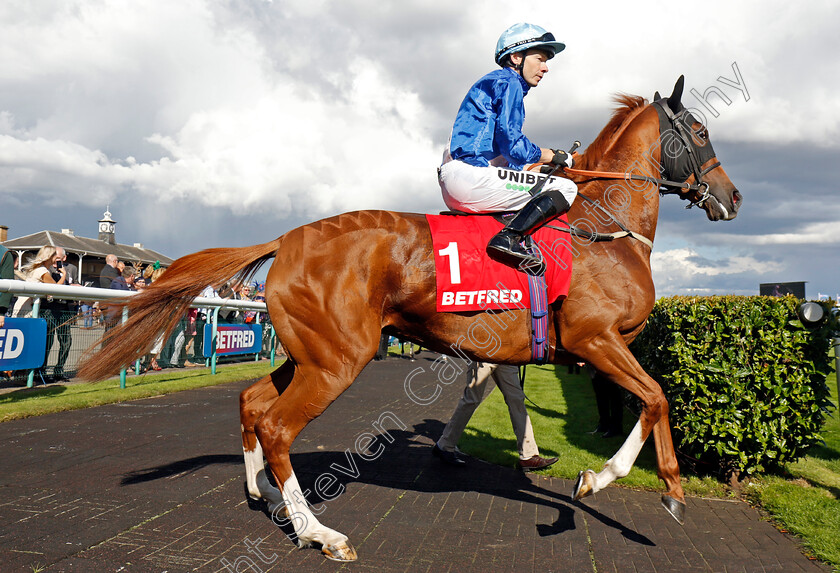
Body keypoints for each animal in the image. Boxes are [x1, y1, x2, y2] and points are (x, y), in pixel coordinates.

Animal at [80, 75, 740, 560]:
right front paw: (611, 482)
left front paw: (645, 485)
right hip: (336, 361)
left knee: (252, 404)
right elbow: (655, 396)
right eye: (702, 129)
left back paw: (265, 494)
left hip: (310, 353)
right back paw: (319, 532)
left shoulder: (583, 348)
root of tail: (286, 237)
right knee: (278, 428)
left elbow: (642, 399)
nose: (732, 198)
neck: (603, 228)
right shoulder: (594, 339)